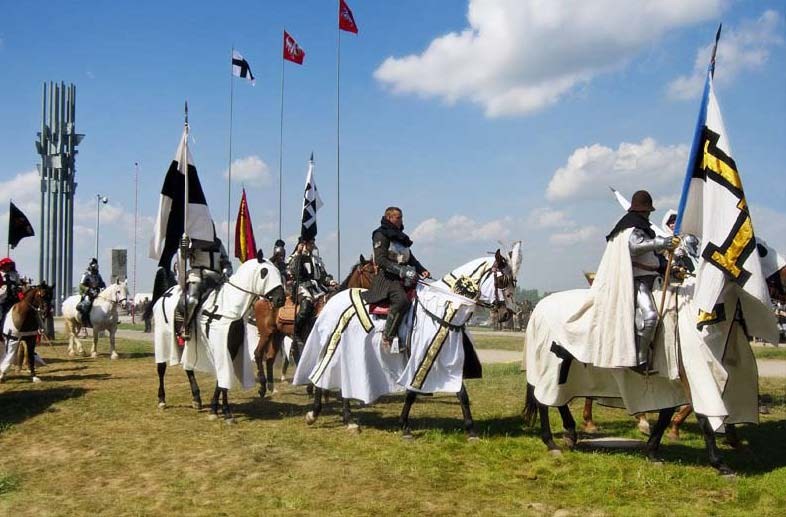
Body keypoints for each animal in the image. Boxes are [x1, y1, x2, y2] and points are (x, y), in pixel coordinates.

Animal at [152, 257, 285, 421]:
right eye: (264, 272)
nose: (280, 299)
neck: (228, 307)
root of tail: (166, 293)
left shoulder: (231, 350)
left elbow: (221, 381)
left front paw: (218, 409)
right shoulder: (220, 350)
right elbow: (223, 378)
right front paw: (222, 411)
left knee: (188, 368)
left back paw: (196, 399)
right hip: (162, 338)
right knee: (161, 368)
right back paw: (162, 399)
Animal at [252, 254, 376, 398]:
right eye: (370, 272)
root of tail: (263, 299)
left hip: (278, 334)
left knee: (270, 358)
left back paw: (272, 387)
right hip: (266, 333)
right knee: (258, 354)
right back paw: (262, 388)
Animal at [293, 244, 521, 439]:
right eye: (502, 281)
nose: (506, 315)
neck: (442, 306)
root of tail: (330, 301)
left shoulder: (446, 359)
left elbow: (461, 393)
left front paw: (471, 429)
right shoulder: (423, 356)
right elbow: (412, 392)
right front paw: (404, 426)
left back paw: (346, 419)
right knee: (321, 377)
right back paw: (317, 415)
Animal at [523, 273, 770, 475]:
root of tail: (539, 307)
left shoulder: (672, 382)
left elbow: (667, 414)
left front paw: (652, 450)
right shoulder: (692, 375)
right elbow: (703, 415)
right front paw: (720, 463)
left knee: (558, 400)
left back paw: (570, 433)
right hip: (549, 365)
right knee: (543, 400)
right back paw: (552, 443)